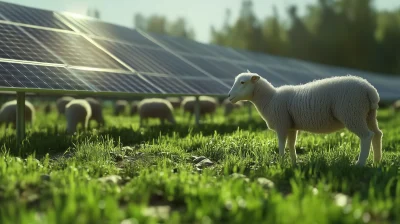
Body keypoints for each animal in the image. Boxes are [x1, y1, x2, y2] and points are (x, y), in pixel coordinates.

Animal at [228, 72, 382, 166]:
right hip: (368, 115)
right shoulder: (291, 126)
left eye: (242, 82)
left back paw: (360, 164)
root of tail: (370, 90)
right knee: (377, 134)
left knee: (367, 136)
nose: (229, 96)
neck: (270, 99)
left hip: (352, 112)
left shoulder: (281, 124)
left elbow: (281, 145)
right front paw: (294, 163)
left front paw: (281, 163)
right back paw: (376, 161)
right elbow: (291, 145)